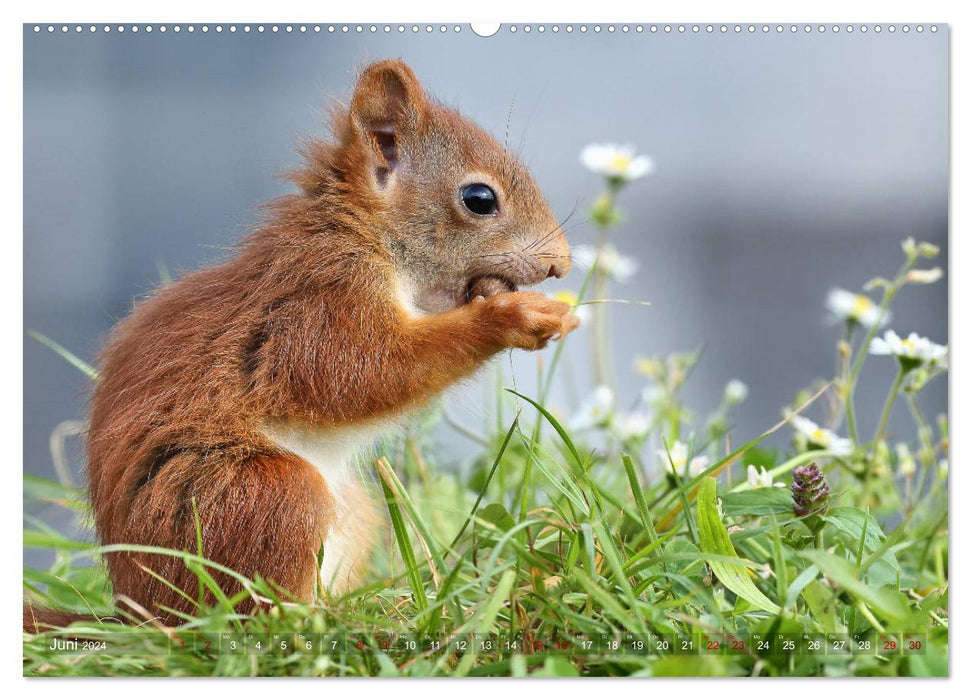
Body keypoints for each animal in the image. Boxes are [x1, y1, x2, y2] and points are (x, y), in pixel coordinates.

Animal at [24, 60, 576, 628]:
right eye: (479, 199)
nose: (560, 264)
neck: (367, 236)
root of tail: (136, 613)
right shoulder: (318, 303)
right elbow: (358, 373)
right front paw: (508, 316)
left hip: (352, 512)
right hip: (261, 499)